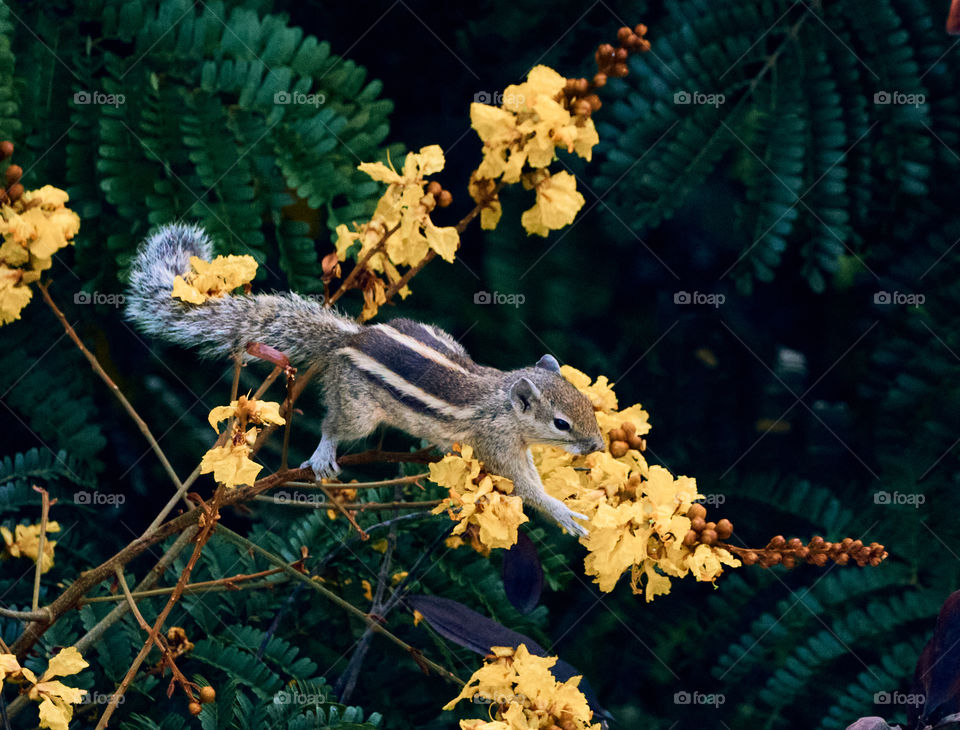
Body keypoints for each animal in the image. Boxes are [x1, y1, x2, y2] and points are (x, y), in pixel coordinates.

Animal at [125, 223, 604, 536]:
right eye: (561, 423)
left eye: (585, 403)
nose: (598, 446)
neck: (501, 401)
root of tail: (351, 337)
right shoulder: (498, 445)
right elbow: (524, 486)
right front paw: (563, 513)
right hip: (357, 408)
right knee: (333, 424)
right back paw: (324, 453)